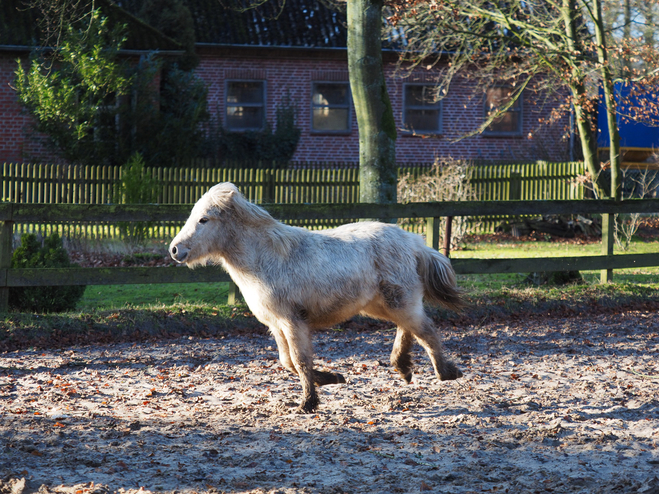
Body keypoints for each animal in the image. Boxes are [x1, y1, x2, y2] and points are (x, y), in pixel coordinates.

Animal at [173, 183, 466, 412]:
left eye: (204, 219)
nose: (175, 250)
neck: (266, 260)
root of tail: (414, 242)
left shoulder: (293, 321)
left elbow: (300, 360)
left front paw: (308, 403)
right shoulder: (276, 325)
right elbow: (287, 362)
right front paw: (332, 378)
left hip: (398, 302)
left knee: (425, 329)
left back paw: (446, 372)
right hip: (383, 305)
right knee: (409, 327)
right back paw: (403, 367)